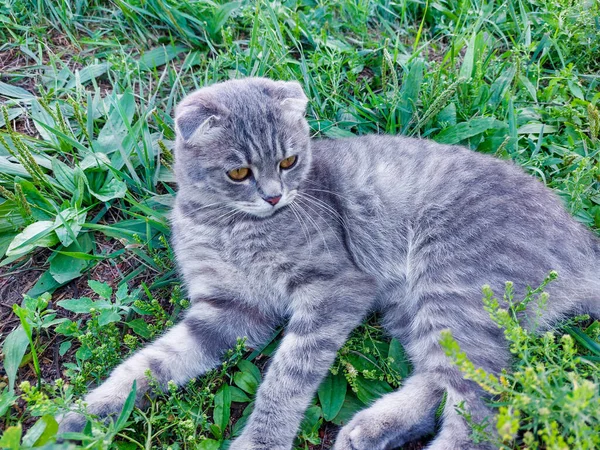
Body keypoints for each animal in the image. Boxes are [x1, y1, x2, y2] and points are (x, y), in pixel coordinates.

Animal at [56, 78, 600, 450]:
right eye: (239, 172)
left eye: (290, 162)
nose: (274, 197)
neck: (226, 225)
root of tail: (582, 243)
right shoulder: (228, 310)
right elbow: (148, 364)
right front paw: (80, 414)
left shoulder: (336, 288)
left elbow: (287, 375)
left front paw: (262, 440)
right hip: (420, 311)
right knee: (443, 380)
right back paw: (371, 428)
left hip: (453, 285)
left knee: (483, 407)